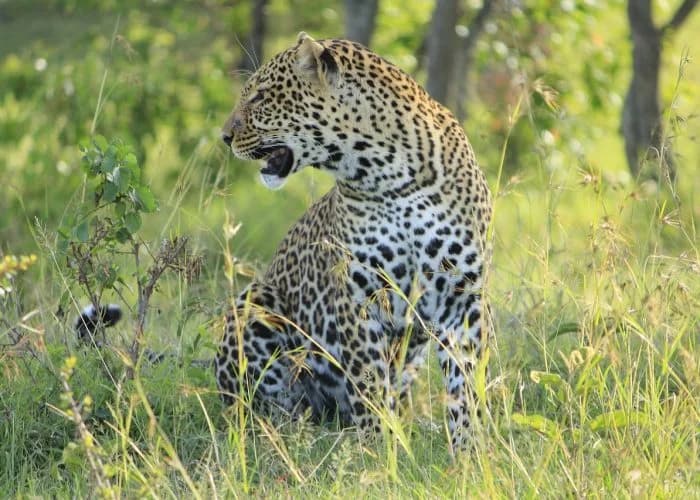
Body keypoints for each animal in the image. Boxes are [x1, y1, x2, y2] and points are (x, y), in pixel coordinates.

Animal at [217, 32, 492, 454]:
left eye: (261, 96)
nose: (225, 137)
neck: (390, 175)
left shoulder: (462, 295)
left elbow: (465, 385)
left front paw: (469, 452)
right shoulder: (359, 296)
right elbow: (369, 385)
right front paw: (379, 452)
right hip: (254, 303)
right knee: (267, 406)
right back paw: (295, 436)